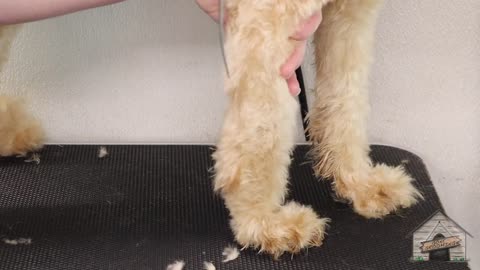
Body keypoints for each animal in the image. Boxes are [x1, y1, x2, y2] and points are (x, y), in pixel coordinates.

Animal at [0, 0, 420, 258]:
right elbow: (262, 129)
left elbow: (347, 96)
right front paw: (261, 223)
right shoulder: (267, 17)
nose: (262, 221)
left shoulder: (350, 15)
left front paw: (358, 182)